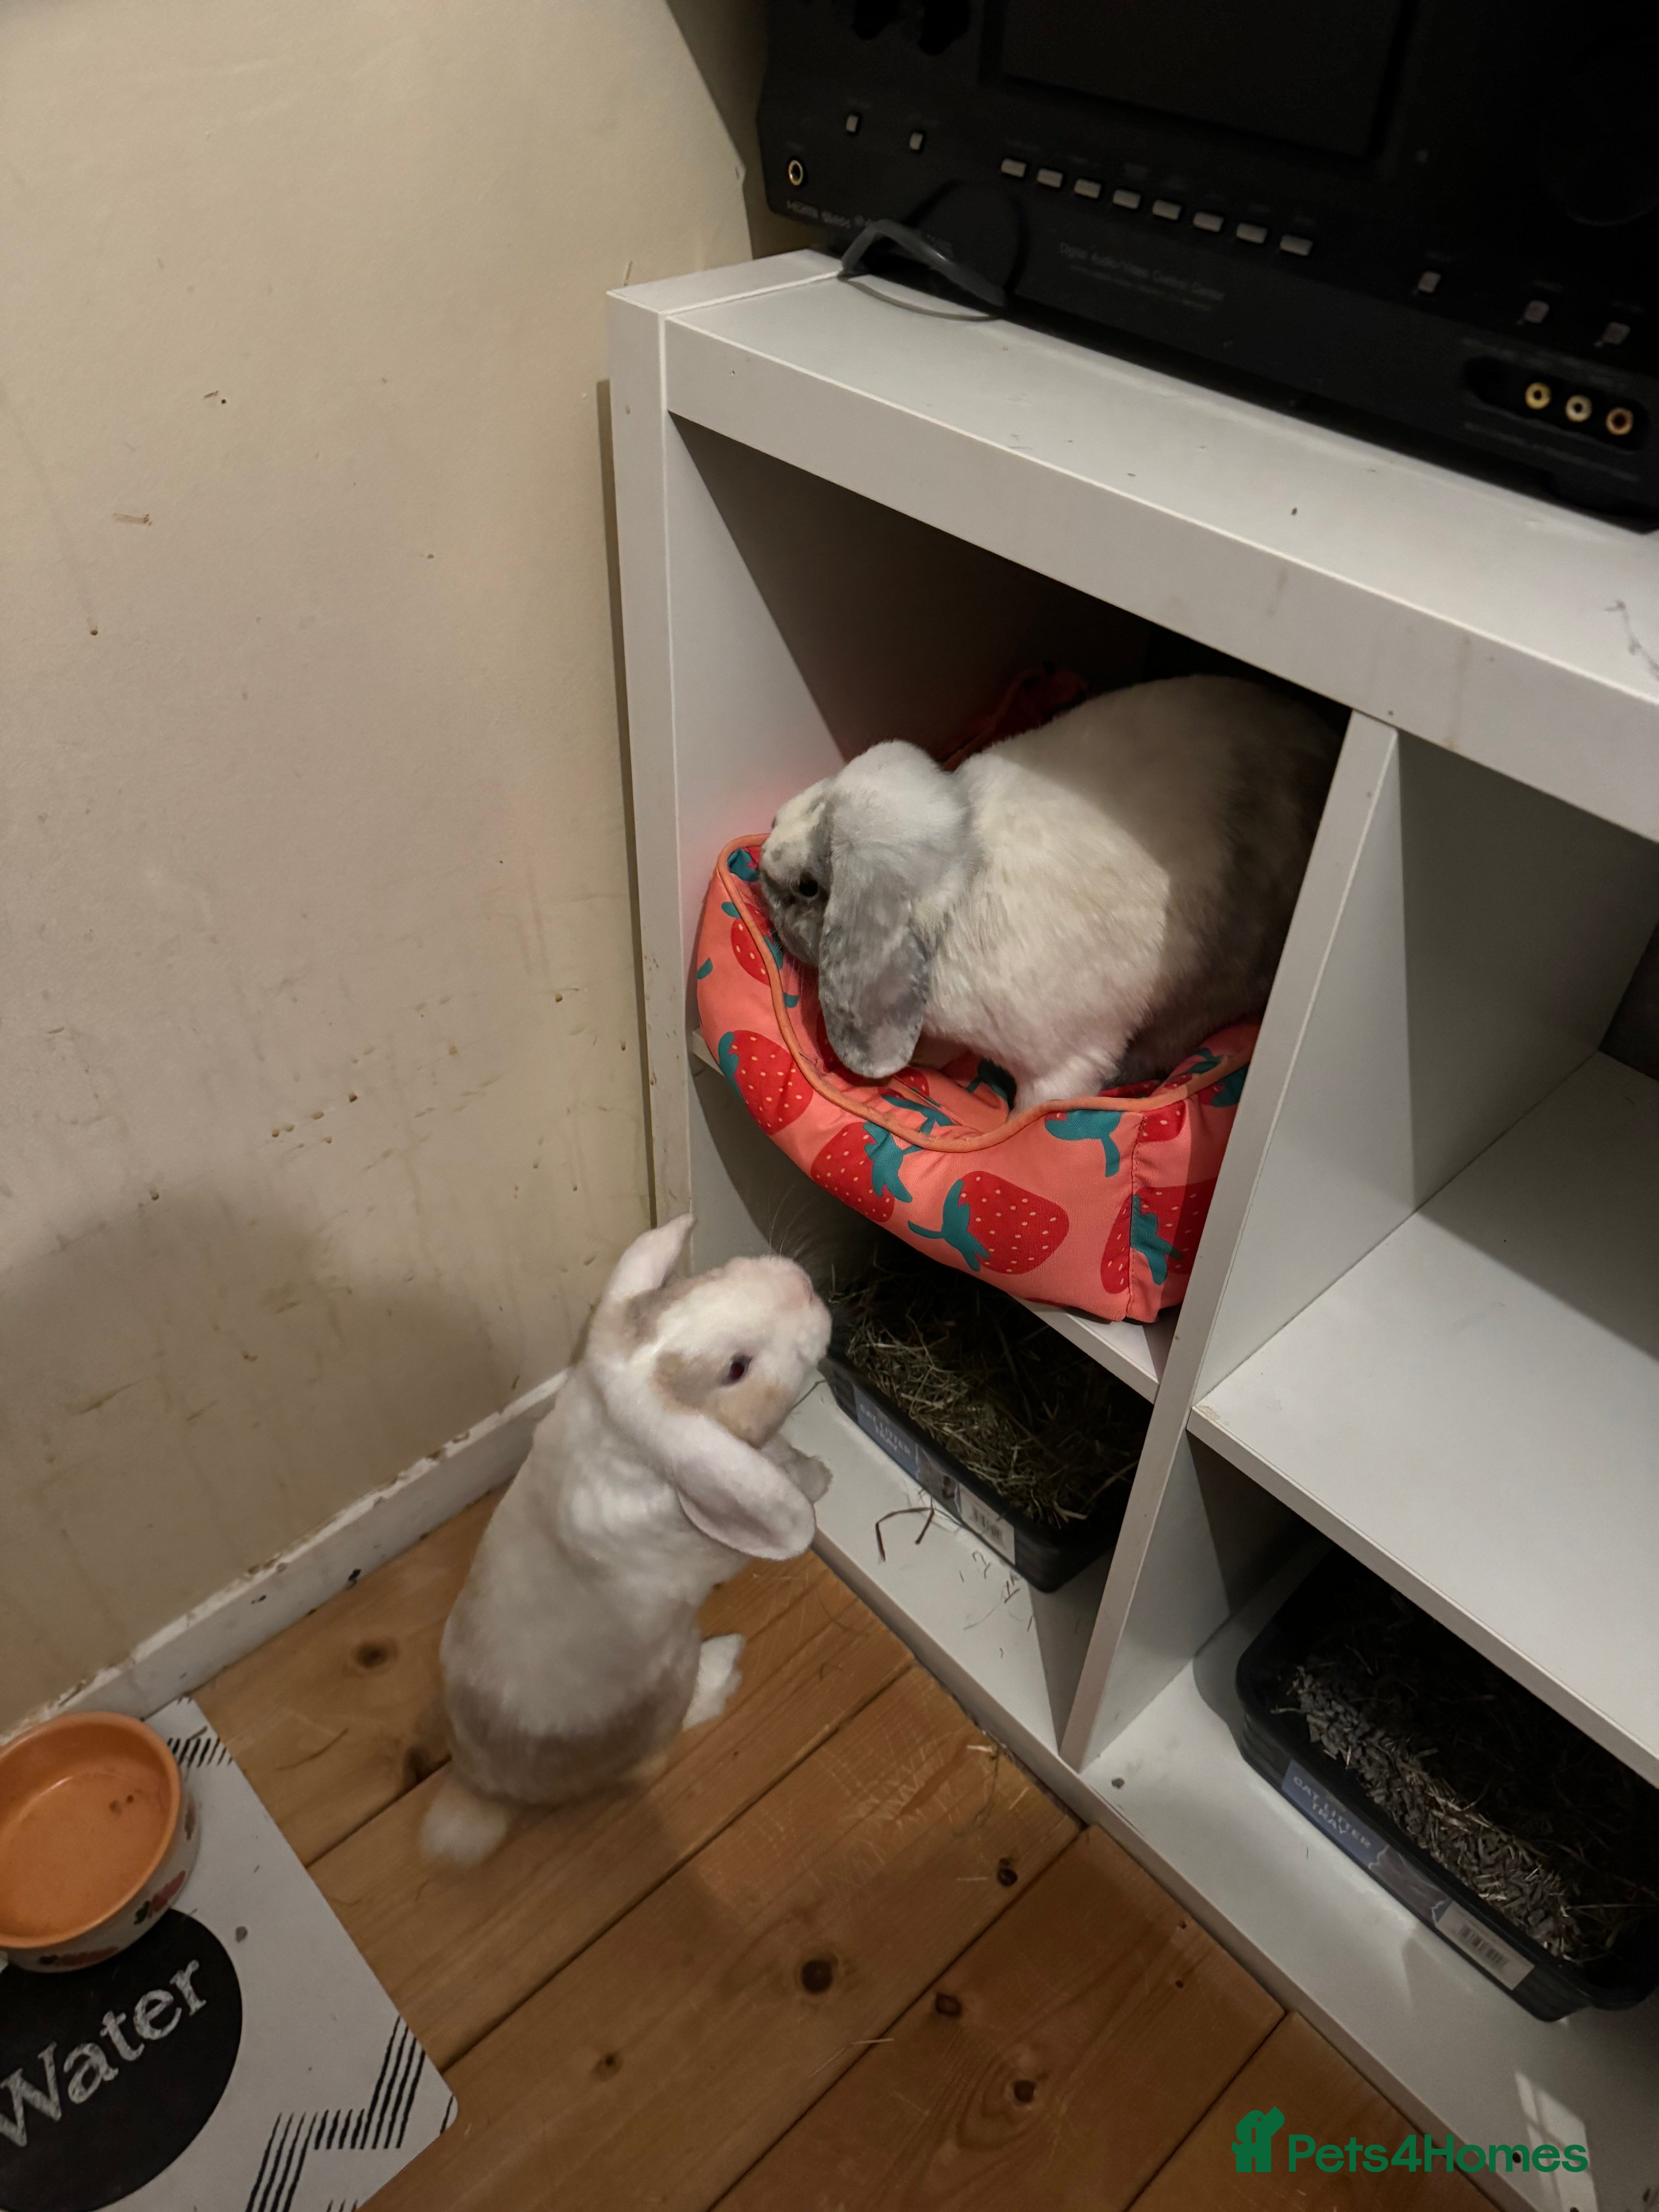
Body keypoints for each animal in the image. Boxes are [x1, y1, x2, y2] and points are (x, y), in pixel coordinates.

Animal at [420, 1214, 833, 1868]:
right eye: (736, 1369)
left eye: (696, 1281)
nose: (803, 1286)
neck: (621, 1433)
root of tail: (482, 1783)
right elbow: (784, 1474)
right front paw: (821, 1481)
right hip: (671, 1673)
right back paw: (726, 1668)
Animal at [760, 675, 1338, 1110]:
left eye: (810, 887)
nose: (761, 857)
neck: (958, 895)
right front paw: (927, 1062)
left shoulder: (1063, 1067)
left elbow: (1034, 1110)